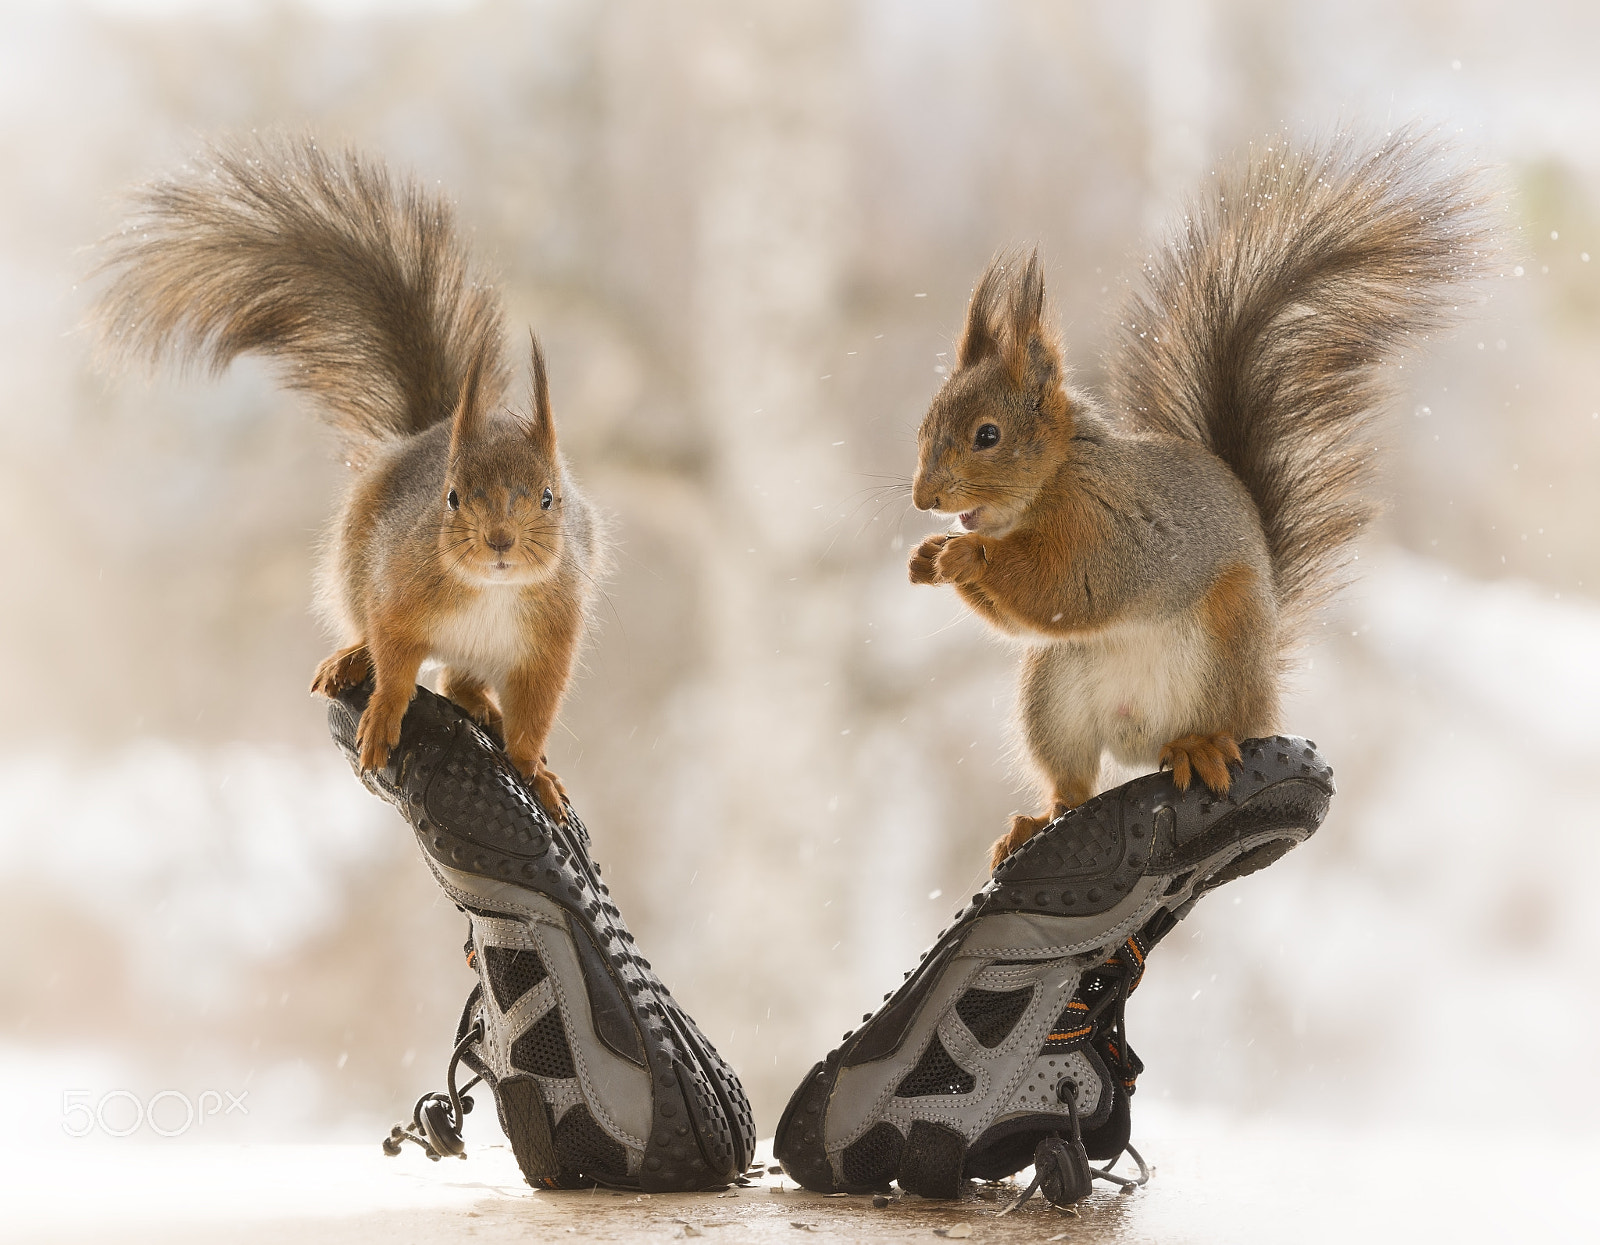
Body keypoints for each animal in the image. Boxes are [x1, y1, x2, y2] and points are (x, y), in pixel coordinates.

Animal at [93, 135, 603, 821]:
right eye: (451, 497)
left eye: (551, 497)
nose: (499, 542)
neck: (491, 589)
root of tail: (423, 436)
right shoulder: (399, 592)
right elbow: (394, 659)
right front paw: (384, 715)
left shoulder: (548, 645)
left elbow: (533, 719)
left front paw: (535, 771)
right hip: (355, 565)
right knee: (382, 639)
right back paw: (350, 659)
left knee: (458, 677)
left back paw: (478, 703)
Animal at [907, 132, 1492, 869]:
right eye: (924, 428)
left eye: (988, 435)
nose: (924, 497)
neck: (1057, 477)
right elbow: (1024, 615)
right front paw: (928, 556)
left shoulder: (1112, 527)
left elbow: (1067, 587)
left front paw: (965, 555)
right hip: (1053, 696)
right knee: (1073, 782)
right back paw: (1040, 820)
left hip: (1226, 646)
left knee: (1221, 727)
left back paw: (1201, 747)